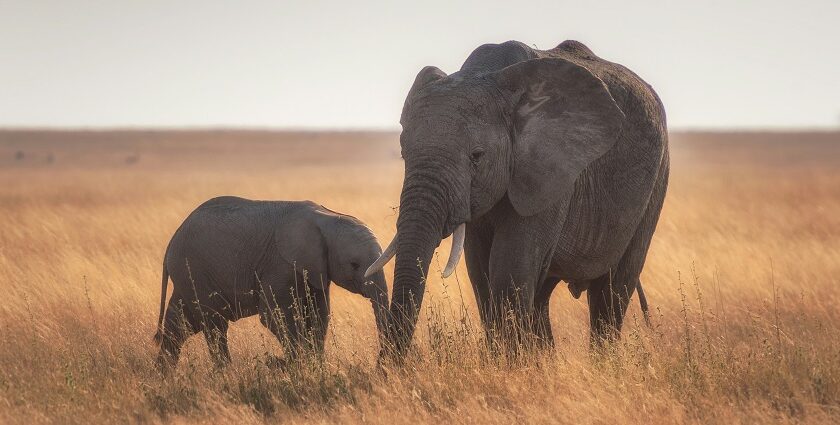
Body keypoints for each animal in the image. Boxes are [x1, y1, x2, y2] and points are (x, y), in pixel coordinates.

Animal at [153, 197, 388, 370]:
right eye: (354, 264)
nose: (380, 365)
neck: (327, 217)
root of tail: (172, 240)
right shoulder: (279, 264)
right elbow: (274, 315)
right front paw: (297, 367)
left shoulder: (316, 269)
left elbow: (319, 314)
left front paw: (316, 367)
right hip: (194, 270)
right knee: (214, 325)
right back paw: (226, 373)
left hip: (189, 275)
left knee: (180, 324)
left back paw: (164, 376)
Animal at [368, 39, 668, 358]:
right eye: (403, 153)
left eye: (477, 156)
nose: (387, 367)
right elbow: (481, 272)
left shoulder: (550, 170)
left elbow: (509, 269)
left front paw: (511, 365)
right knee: (542, 296)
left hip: (656, 181)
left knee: (612, 291)